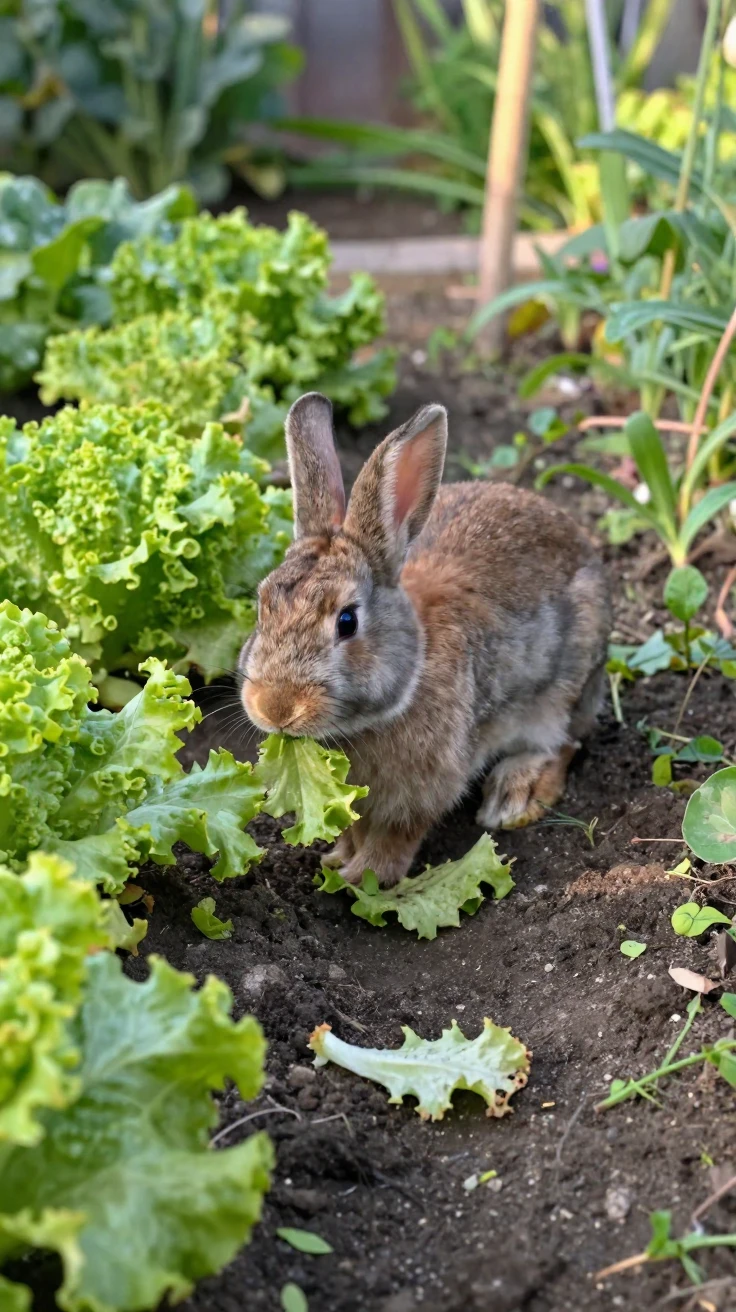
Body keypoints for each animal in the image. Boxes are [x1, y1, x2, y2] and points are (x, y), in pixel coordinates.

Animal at [240, 392, 611, 887]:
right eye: (261, 606)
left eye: (346, 621)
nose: (276, 708)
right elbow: (354, 829)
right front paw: (337, 860)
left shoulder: (422, 791)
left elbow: (395, 837)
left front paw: (365, 878)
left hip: (563, 687)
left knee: (564, 743)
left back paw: (514, 797)